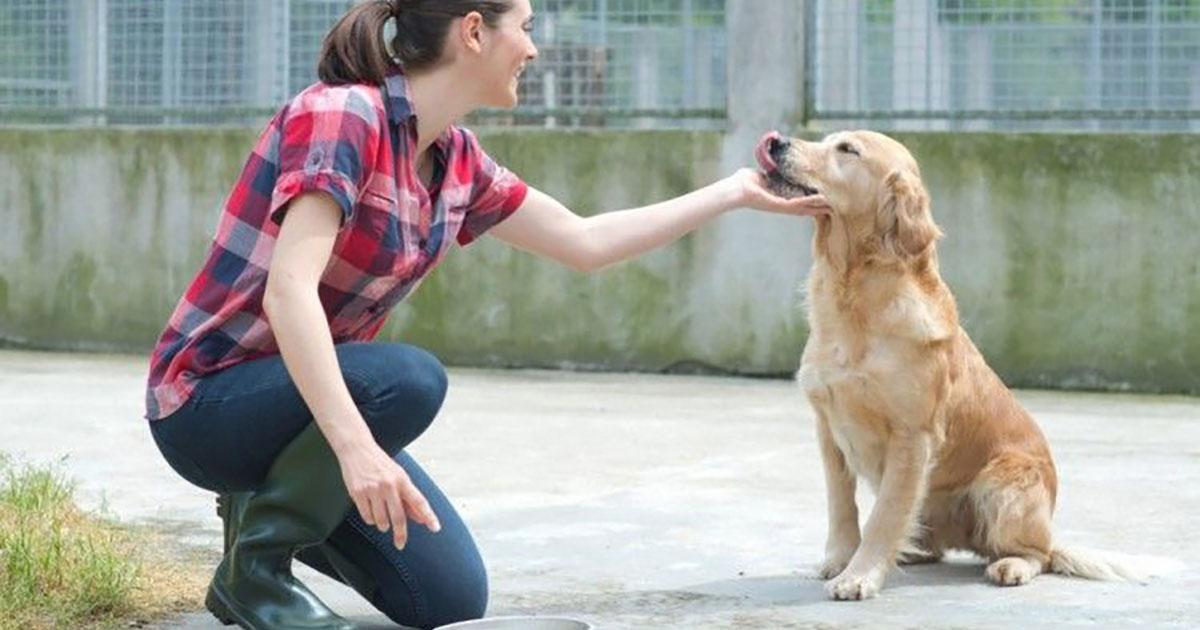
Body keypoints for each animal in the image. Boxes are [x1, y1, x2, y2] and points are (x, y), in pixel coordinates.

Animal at [758, 129, 1142, 600]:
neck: (854, 295)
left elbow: (885, 514)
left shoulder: (912, 435)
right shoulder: (828, 426)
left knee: (1039, 554)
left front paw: (859, 575)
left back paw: (1011, 565)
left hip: (1004, 485)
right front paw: (840, 559)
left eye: (847, 150)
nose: (777, 142)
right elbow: (842, 505)